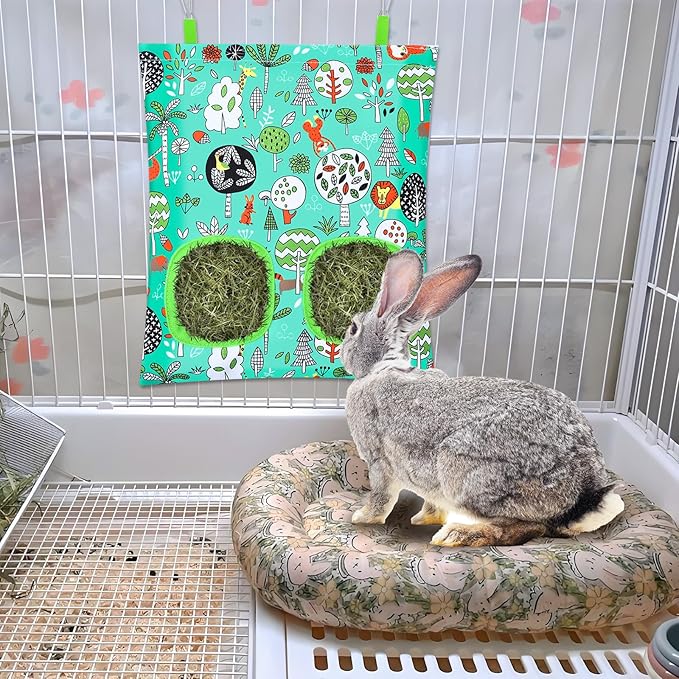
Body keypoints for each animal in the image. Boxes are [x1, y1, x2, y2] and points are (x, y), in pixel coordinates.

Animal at [341, 250, 625, 547]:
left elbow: (381, 498)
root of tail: (582, 491)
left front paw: (362, 518)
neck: (384, 366)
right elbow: (431, 504)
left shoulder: (379, 462)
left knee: (524, 528)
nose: (342, 349)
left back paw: (456, 534)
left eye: (353, 328)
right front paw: (422, 519)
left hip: (464, 473)